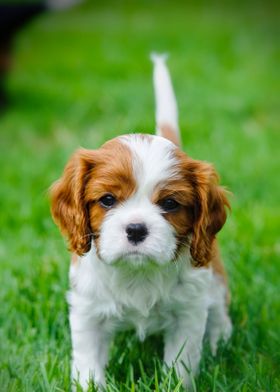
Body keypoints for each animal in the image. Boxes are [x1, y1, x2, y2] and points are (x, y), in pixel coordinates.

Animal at [49, 54, 232, 388]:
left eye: (170, 203)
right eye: (108, 199)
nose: (136, 229)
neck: (138, 273)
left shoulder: (187, 313)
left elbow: (180, 364)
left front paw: (176, 384)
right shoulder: (87, 312)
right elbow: (88, 363)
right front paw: (89, 386)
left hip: (212, 275)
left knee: (218, 307)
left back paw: (220, 340)